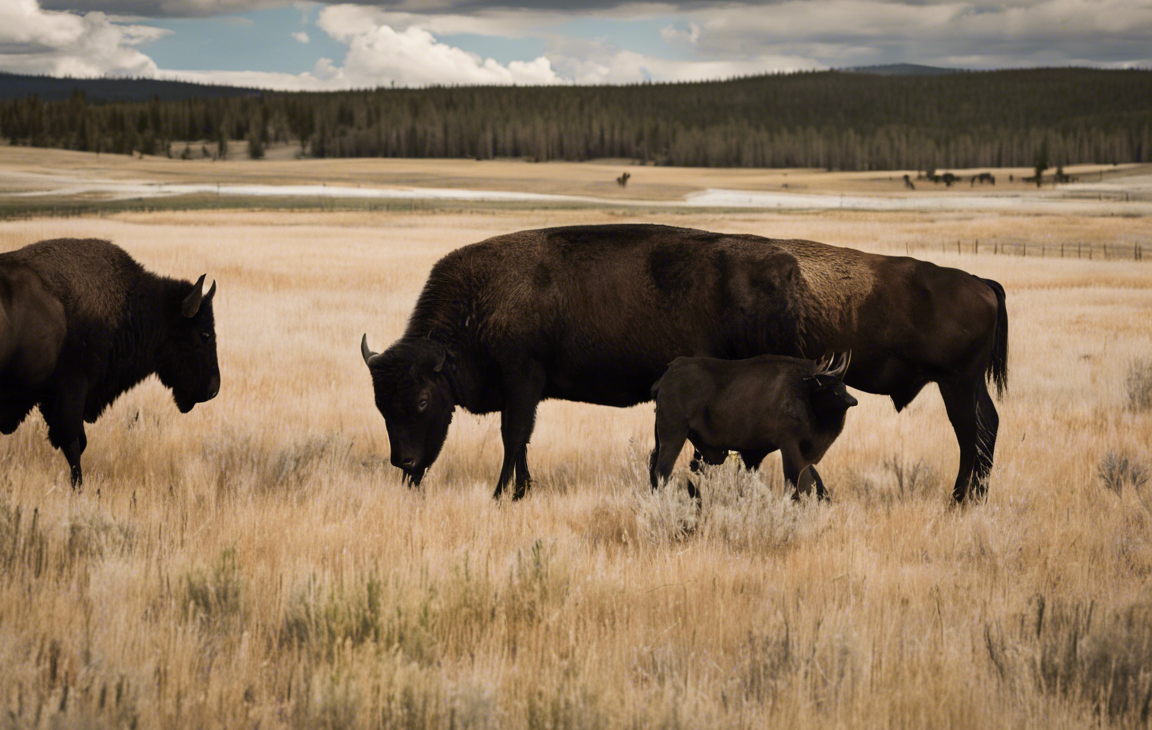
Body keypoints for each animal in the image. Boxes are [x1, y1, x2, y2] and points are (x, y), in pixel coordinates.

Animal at [0, 238, 222, 485]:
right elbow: (73, 444)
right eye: (204, 334)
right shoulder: (71, 391)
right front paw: (79, 487)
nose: (213, 389)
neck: (128, 306)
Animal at [649, 350, 857, 499]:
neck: (804, 391)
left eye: (842, 385)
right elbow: (795, 487)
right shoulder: (790, 449)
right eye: (831, 386)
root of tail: (666, 377)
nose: (852, 400)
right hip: (673, 438)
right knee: (662, 473)